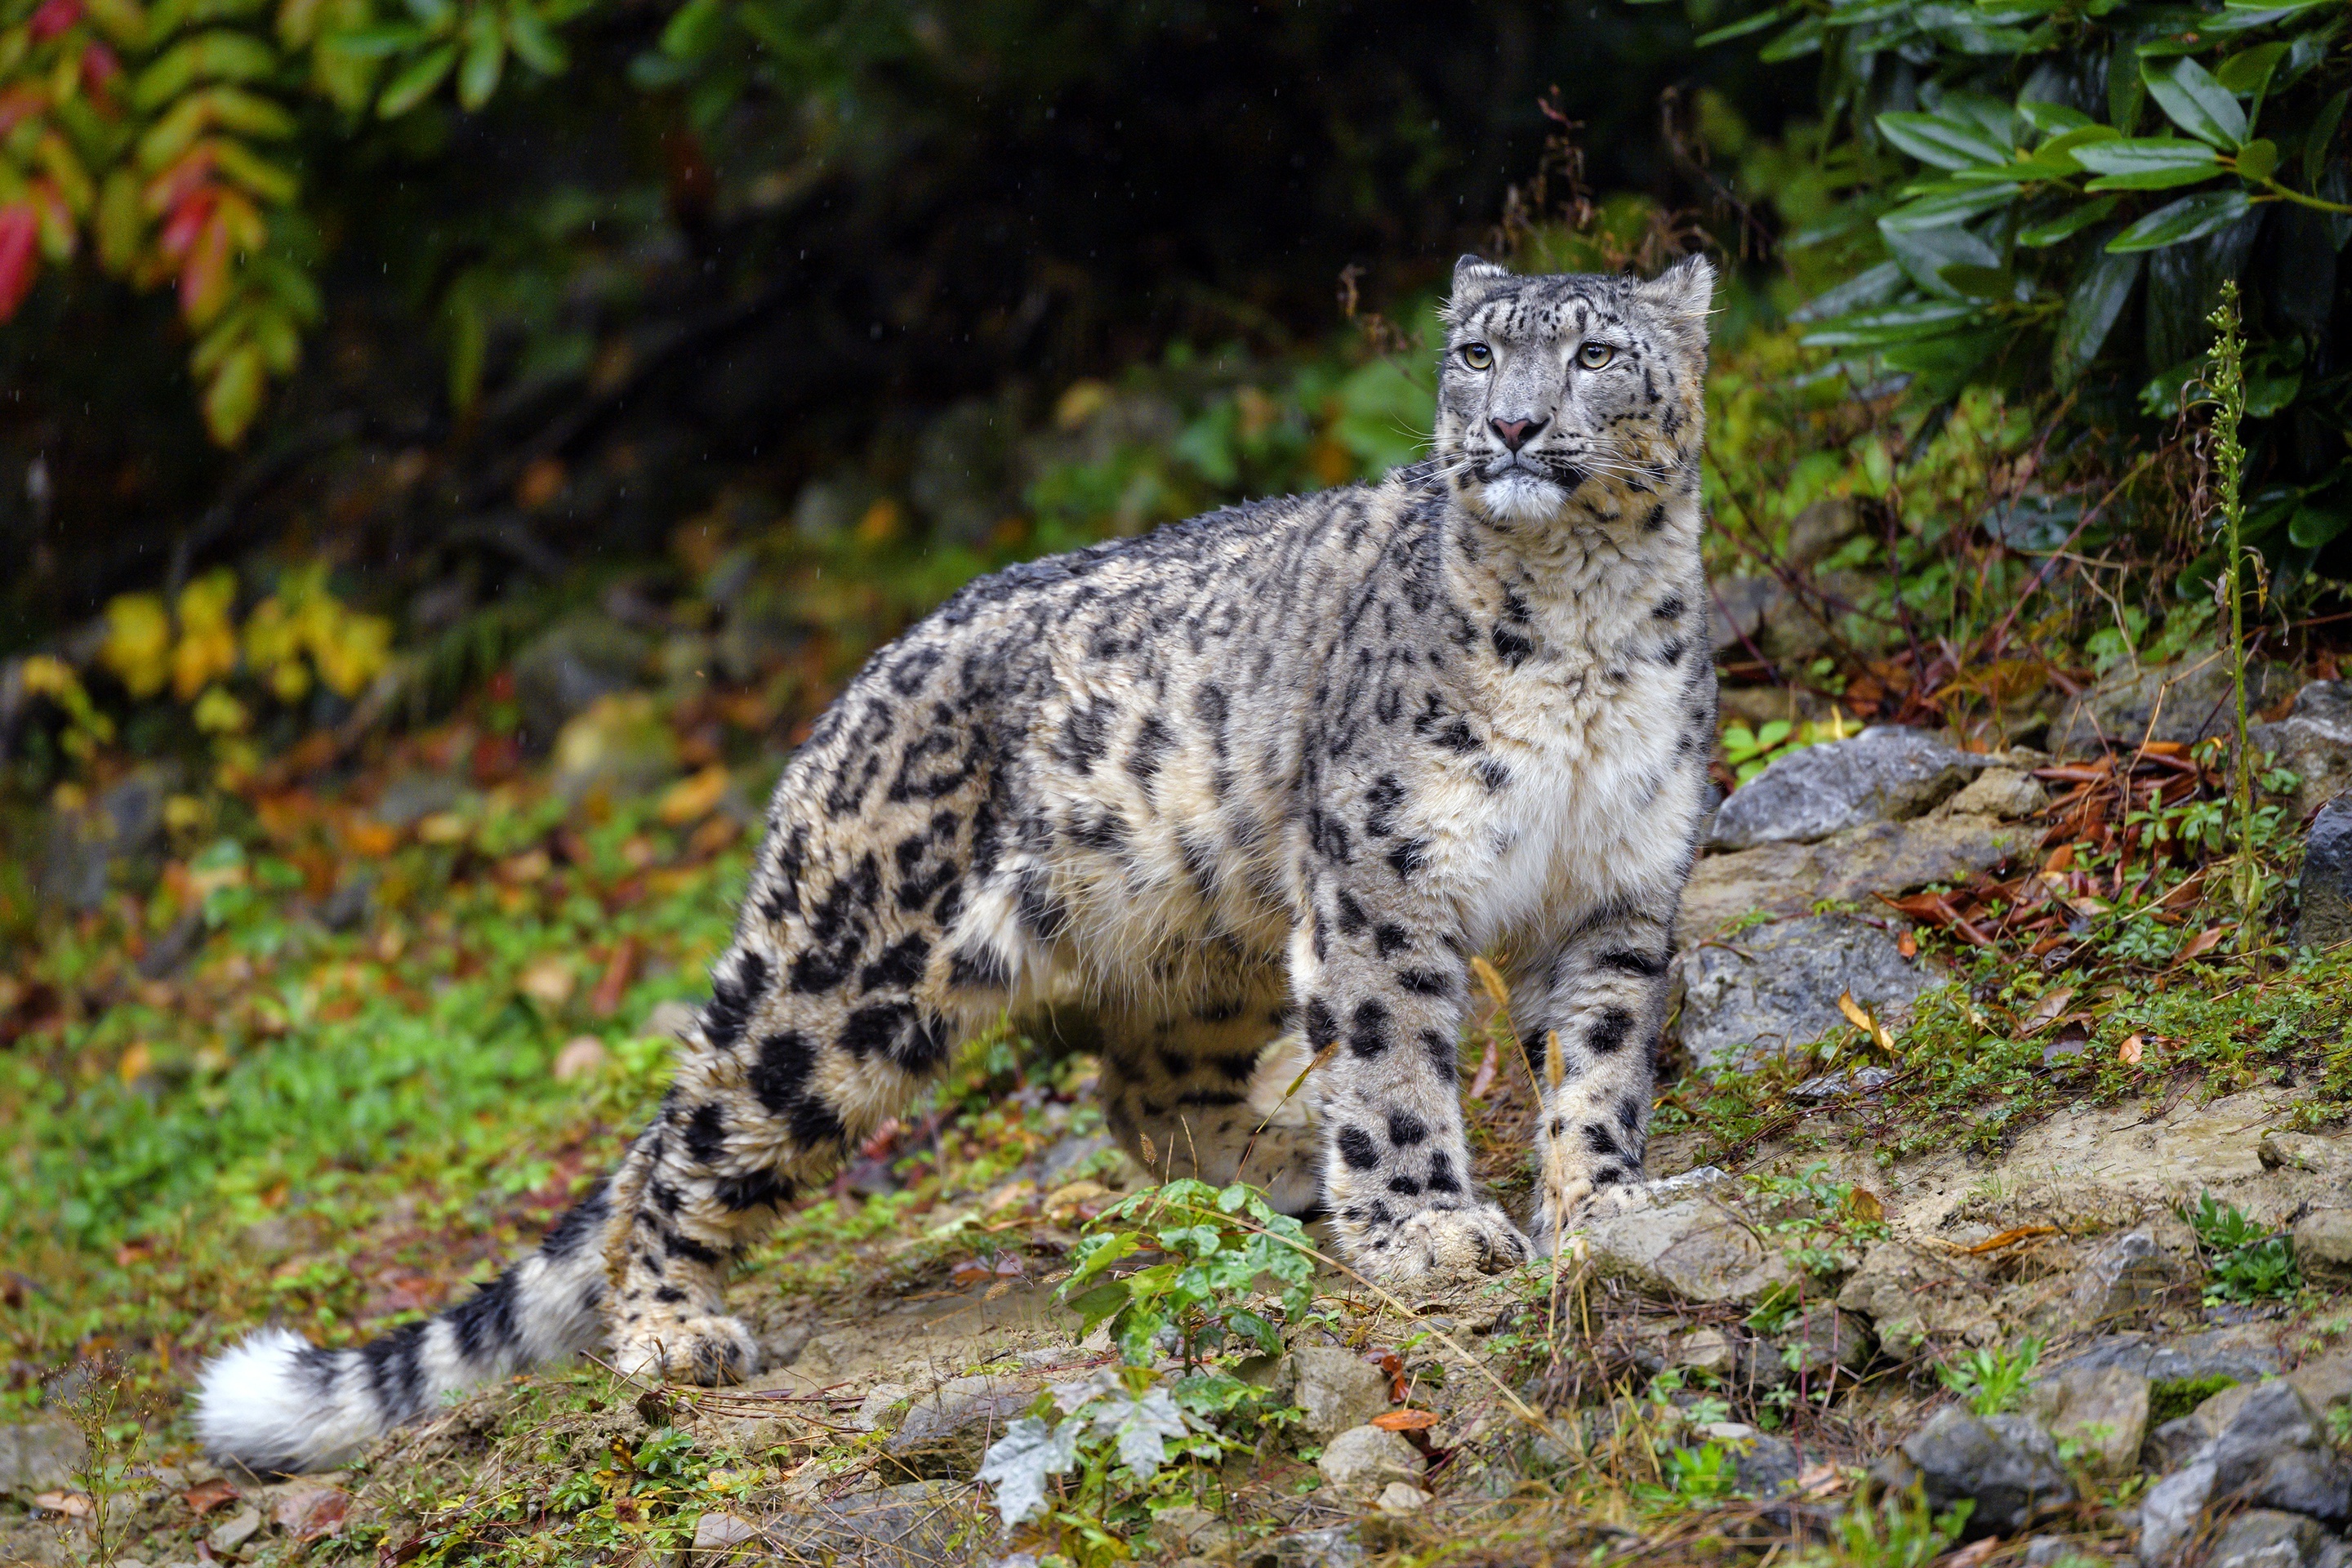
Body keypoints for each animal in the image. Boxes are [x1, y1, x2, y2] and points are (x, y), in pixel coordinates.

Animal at [197, 252, 1712, 1476]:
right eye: (1477, 352)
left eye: (1593, 351)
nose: (1511, 424)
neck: (1583, 620)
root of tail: (842, 704)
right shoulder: (1387, 873)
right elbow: (1394, 1063)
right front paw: (1430, 1234)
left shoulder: (1624, 881)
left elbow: (1602, 1055)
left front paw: (1607, 1204)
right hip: (843, 983)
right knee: (691, 1142)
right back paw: (674, 1332)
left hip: (1197, 936)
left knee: (1143, 1091)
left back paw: (1284, 1163)